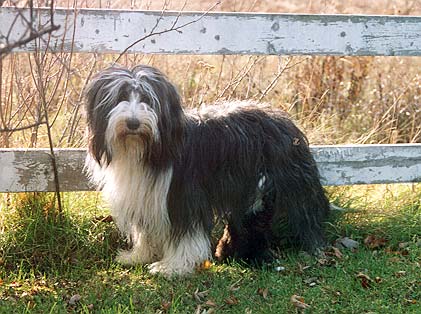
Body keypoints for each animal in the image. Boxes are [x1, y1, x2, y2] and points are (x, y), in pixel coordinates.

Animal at [83, 65, 330, 276]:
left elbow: (185, 233)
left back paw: (313, 246)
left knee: (307, 212)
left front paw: (173, 266)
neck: (145, 151)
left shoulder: (184, 194)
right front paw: (138, 256)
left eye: (147, 99)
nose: (133, 123)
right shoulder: (145, 197)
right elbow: (145, 231)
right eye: (120, 97)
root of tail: (284, 118)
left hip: (293, 182)